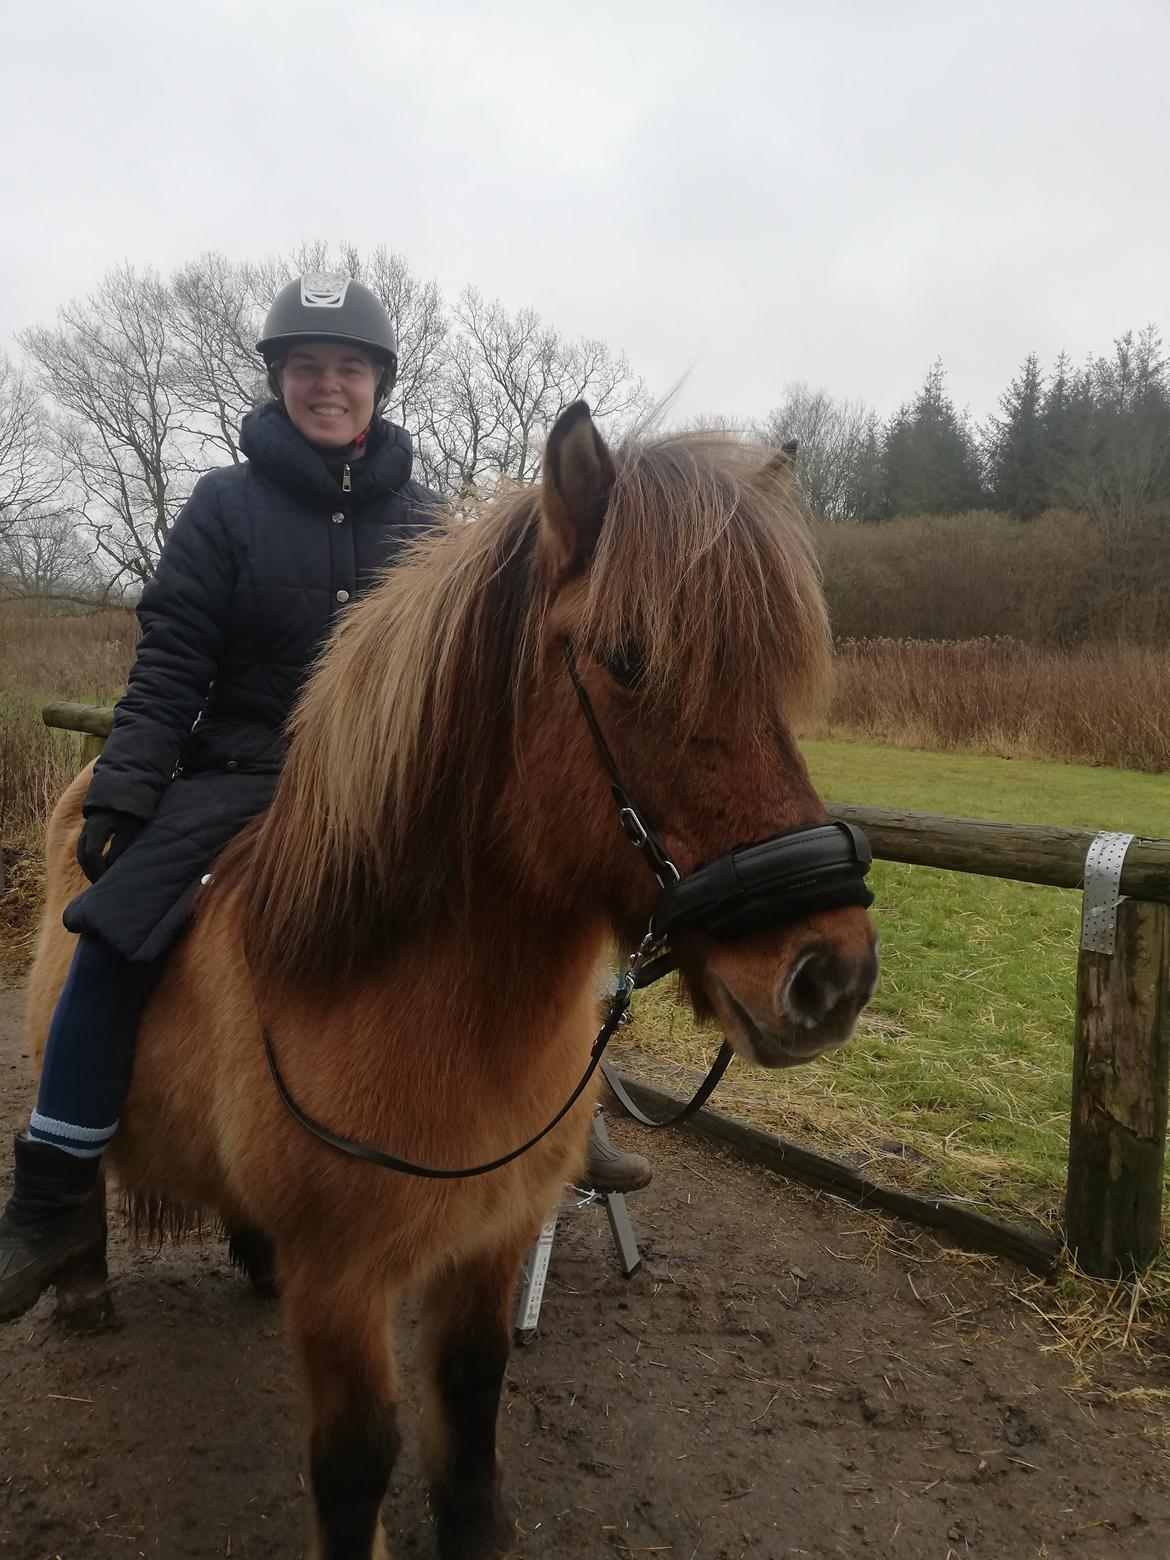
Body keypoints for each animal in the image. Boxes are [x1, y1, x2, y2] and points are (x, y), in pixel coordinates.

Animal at [25, 405, 879, 1560]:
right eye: (627, 659)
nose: (832, 975)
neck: (410, 1002)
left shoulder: (494, 1238)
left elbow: (471, 1403)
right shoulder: (343, 1283)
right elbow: (355, 1462)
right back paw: (73, 1278)